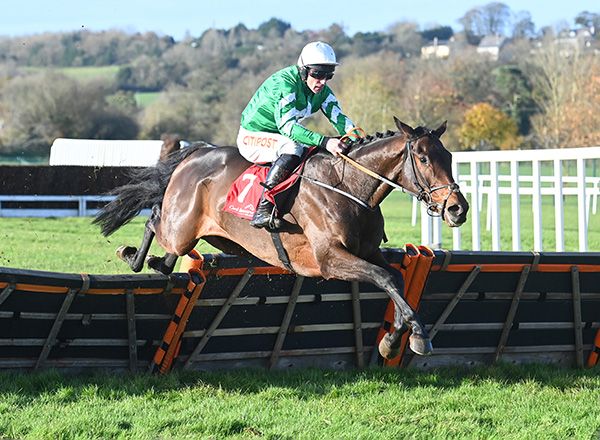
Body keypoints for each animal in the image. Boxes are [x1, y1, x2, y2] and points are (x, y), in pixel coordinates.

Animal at [94, 117, 468, 358]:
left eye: (449, 157)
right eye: (423, 158)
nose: (457, 209)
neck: (348, 187)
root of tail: (195, 153)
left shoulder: (367, 251)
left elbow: (396, 280)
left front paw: (394, 338)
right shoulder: (329, 259)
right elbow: (385, 278)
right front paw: (417, 337)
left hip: (205, 237)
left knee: (168, 257)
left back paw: (152, 261)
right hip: (180, 226)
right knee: (154, 219)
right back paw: (130, 254)